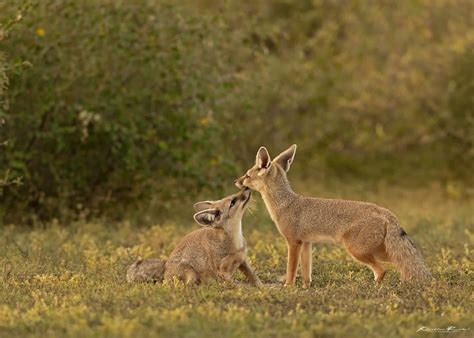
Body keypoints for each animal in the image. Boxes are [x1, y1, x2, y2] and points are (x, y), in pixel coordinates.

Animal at [235, 144, 432, 286]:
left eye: (247, 175)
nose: (236, 181)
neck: (285, 204)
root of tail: (385, 212)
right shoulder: (306, 243)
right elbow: (306, 273)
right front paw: (305, 289)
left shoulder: (293, 242)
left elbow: (291, 271)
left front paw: (288, 288)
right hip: (380, 251)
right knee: (404, 265)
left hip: (358, 251)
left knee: (383, 270)